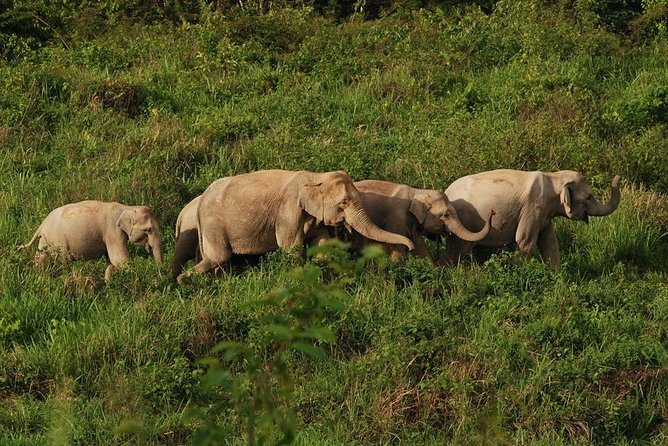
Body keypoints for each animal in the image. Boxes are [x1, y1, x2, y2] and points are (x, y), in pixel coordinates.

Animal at [19, 200, 163, 281]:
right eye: (149, 229)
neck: (127, 208)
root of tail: (42, 225)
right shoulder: (112, 231)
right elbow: (120, 260)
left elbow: (111, 261)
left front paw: (108, 281)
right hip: (57, 241)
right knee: (64, 262)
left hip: (46, 240)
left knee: (41, 257)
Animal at [176, 169, 415, 283]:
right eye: (344, 203)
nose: (411, 247)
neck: (316, 176)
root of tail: (201, 200)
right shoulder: (288, 211)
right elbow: (291, 247)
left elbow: (321, 246)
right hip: (213, 224)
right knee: (219, 257)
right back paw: (183, 282)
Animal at [346, 180, 495, 262]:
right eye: (445, 215)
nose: (492, 212)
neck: (417, 192)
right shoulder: (397, 218)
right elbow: (398, 247)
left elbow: (420, 246)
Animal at [442, 170, 621, 270]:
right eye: (589, 197)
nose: (618, 176)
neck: (553, 177)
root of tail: (447, 193)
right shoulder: (533, 207)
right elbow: (524, 240)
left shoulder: (544, 215)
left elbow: (550, 242)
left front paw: (557, 277)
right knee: (458, 251)